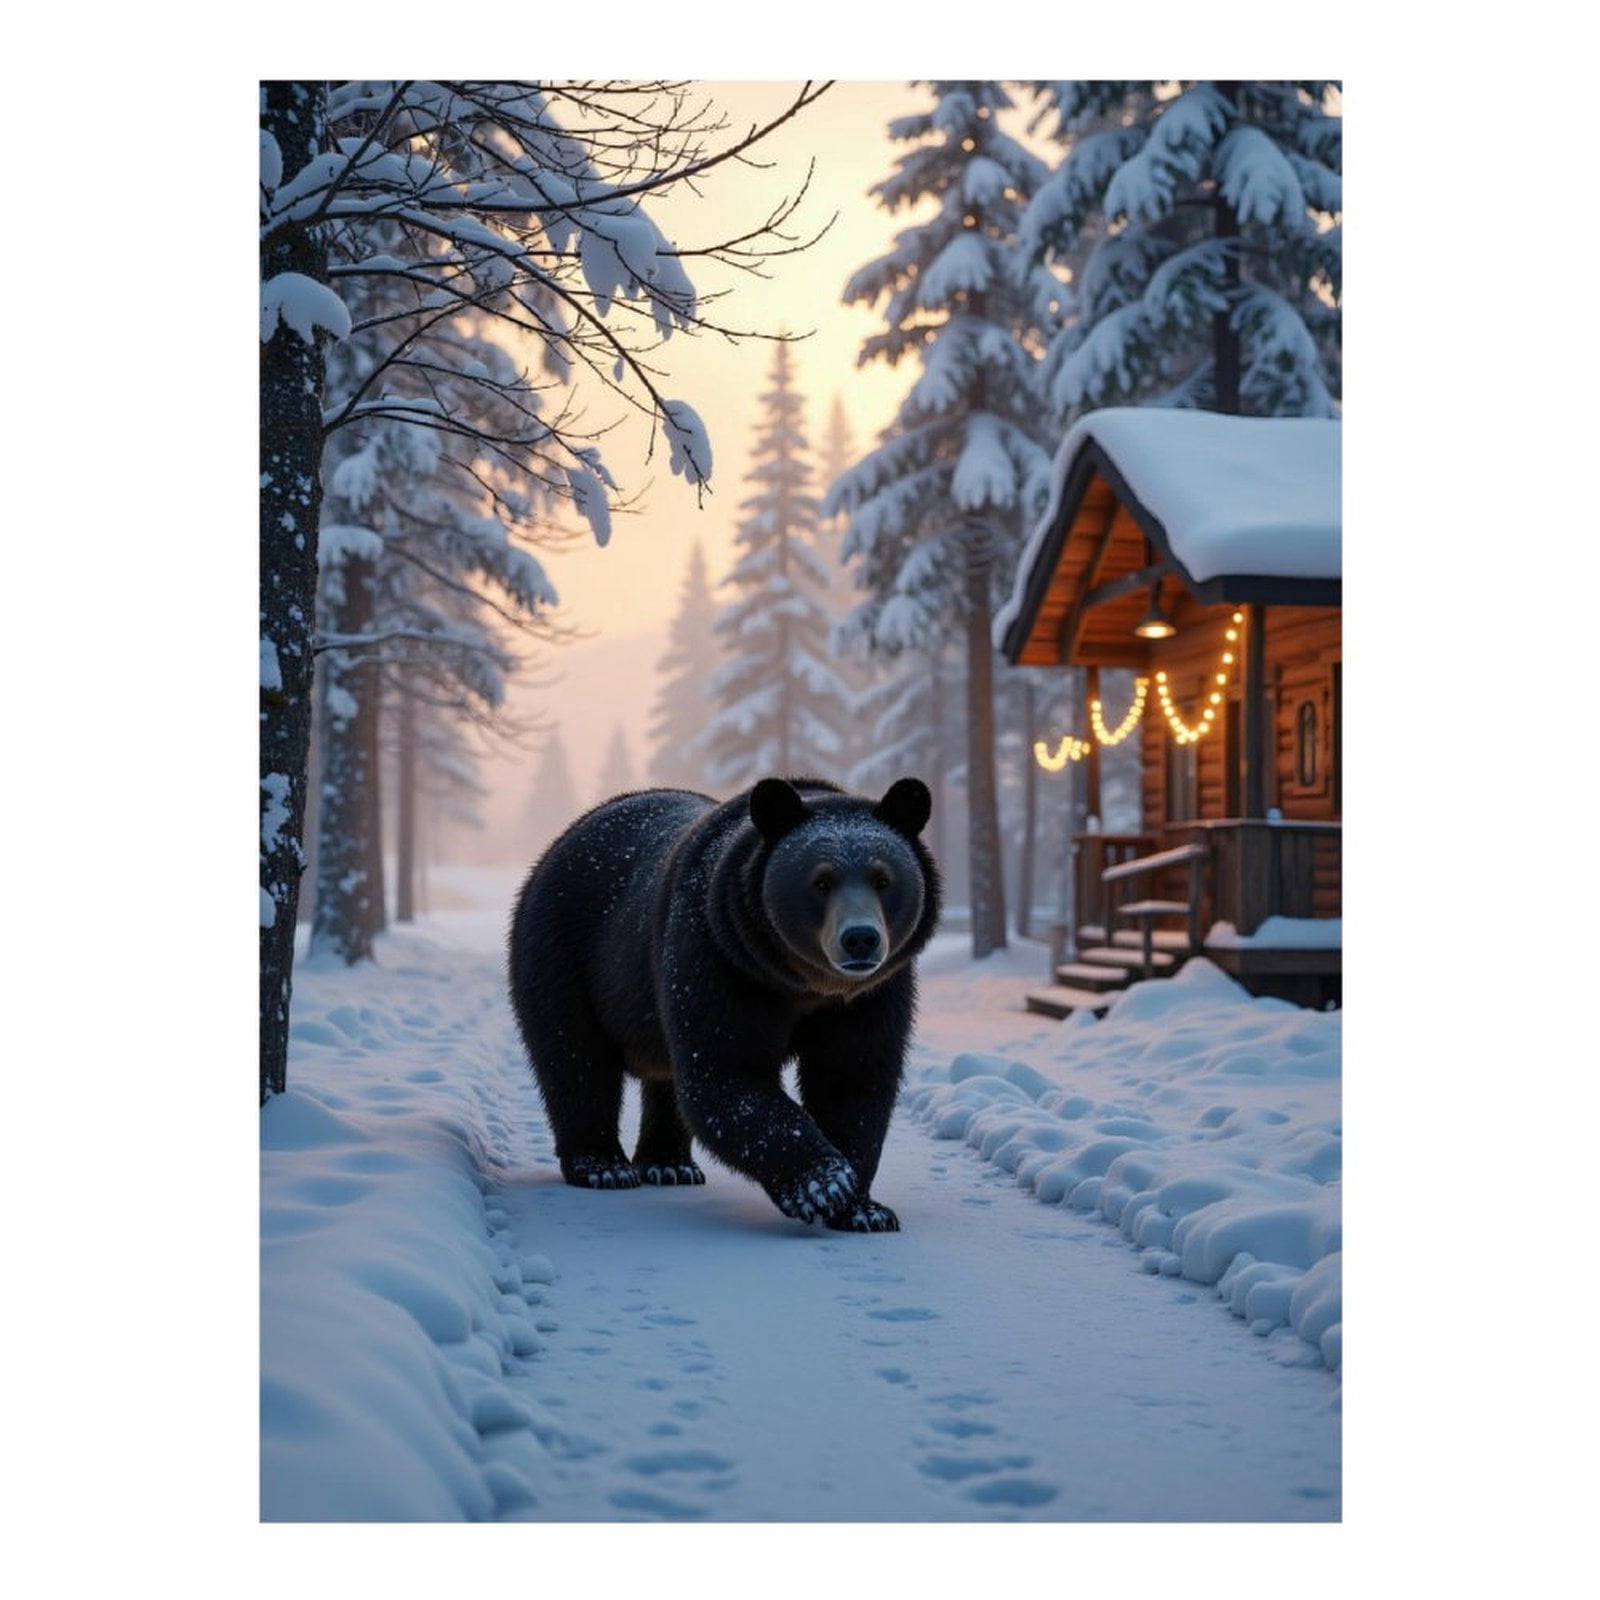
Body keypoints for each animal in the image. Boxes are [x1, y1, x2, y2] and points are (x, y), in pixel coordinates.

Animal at [507, 776, 941, 1231]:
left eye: (883, 878)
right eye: (821, 880)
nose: (860, 938)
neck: (801, 982)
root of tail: (566, 837)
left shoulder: (868, 996)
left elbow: (852, 1078)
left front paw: (864, 1208)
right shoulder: (719, 958)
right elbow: (727, 1070)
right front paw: (823, 1183)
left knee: (662, 1079)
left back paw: (669, 1164)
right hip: (565, 951)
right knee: (576, 1061)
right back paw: (602, 1166)